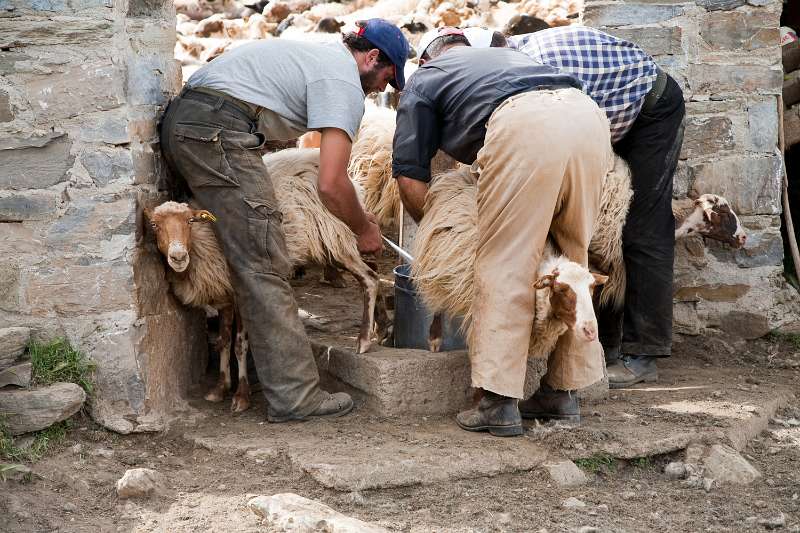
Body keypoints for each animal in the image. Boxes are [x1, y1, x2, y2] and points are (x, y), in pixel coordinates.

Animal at [142, 202, 250, 414]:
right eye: (154, 225)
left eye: (190, 220)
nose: (178, 257)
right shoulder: (225, 297)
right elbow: (224, 341)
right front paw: (220, 387)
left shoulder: (241, 297)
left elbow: (240, 344)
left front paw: (242, 395)